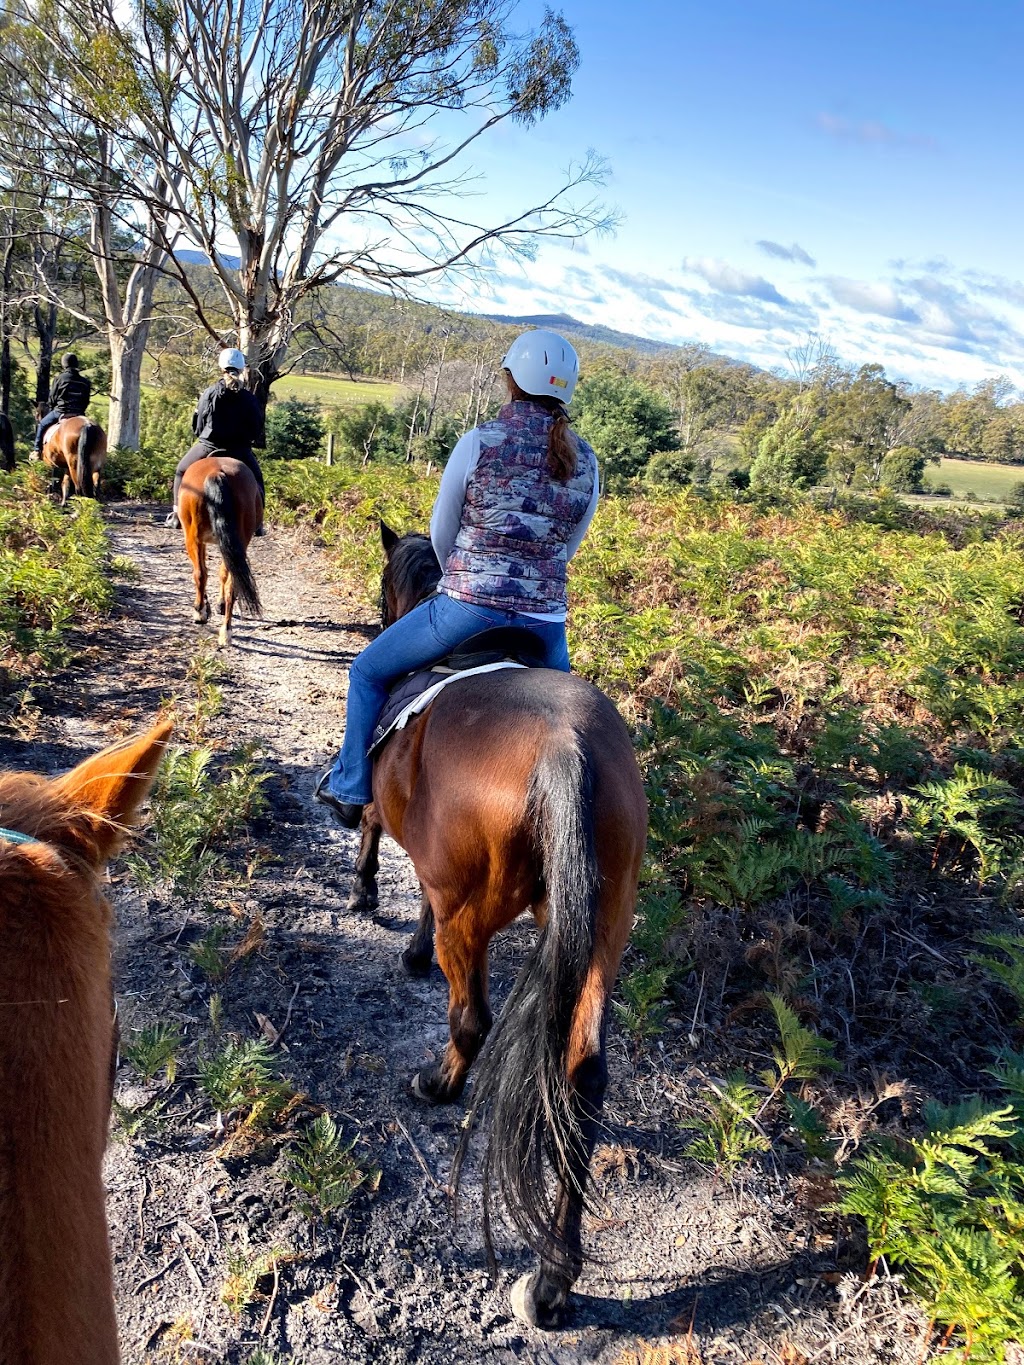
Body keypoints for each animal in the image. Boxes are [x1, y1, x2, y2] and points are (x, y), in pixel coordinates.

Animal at [178, 455, 262, 647]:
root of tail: (217, 472)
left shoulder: (200, 541)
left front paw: (205, 607)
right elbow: (223, 574)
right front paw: (220, 604)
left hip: (192, 538)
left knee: (200, 573)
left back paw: (199, 613)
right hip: (239, 541)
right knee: (232, 582)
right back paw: (226, 632)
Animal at [345, 524, 649, 1332]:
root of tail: (566, 749)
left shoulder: (406, 837)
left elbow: (370, 831)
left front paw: (368, 901)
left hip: (475, 916)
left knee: (473, 1018)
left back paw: (437, 1083)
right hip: (603, 932)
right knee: (582, 1075)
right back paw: (553, 1279)